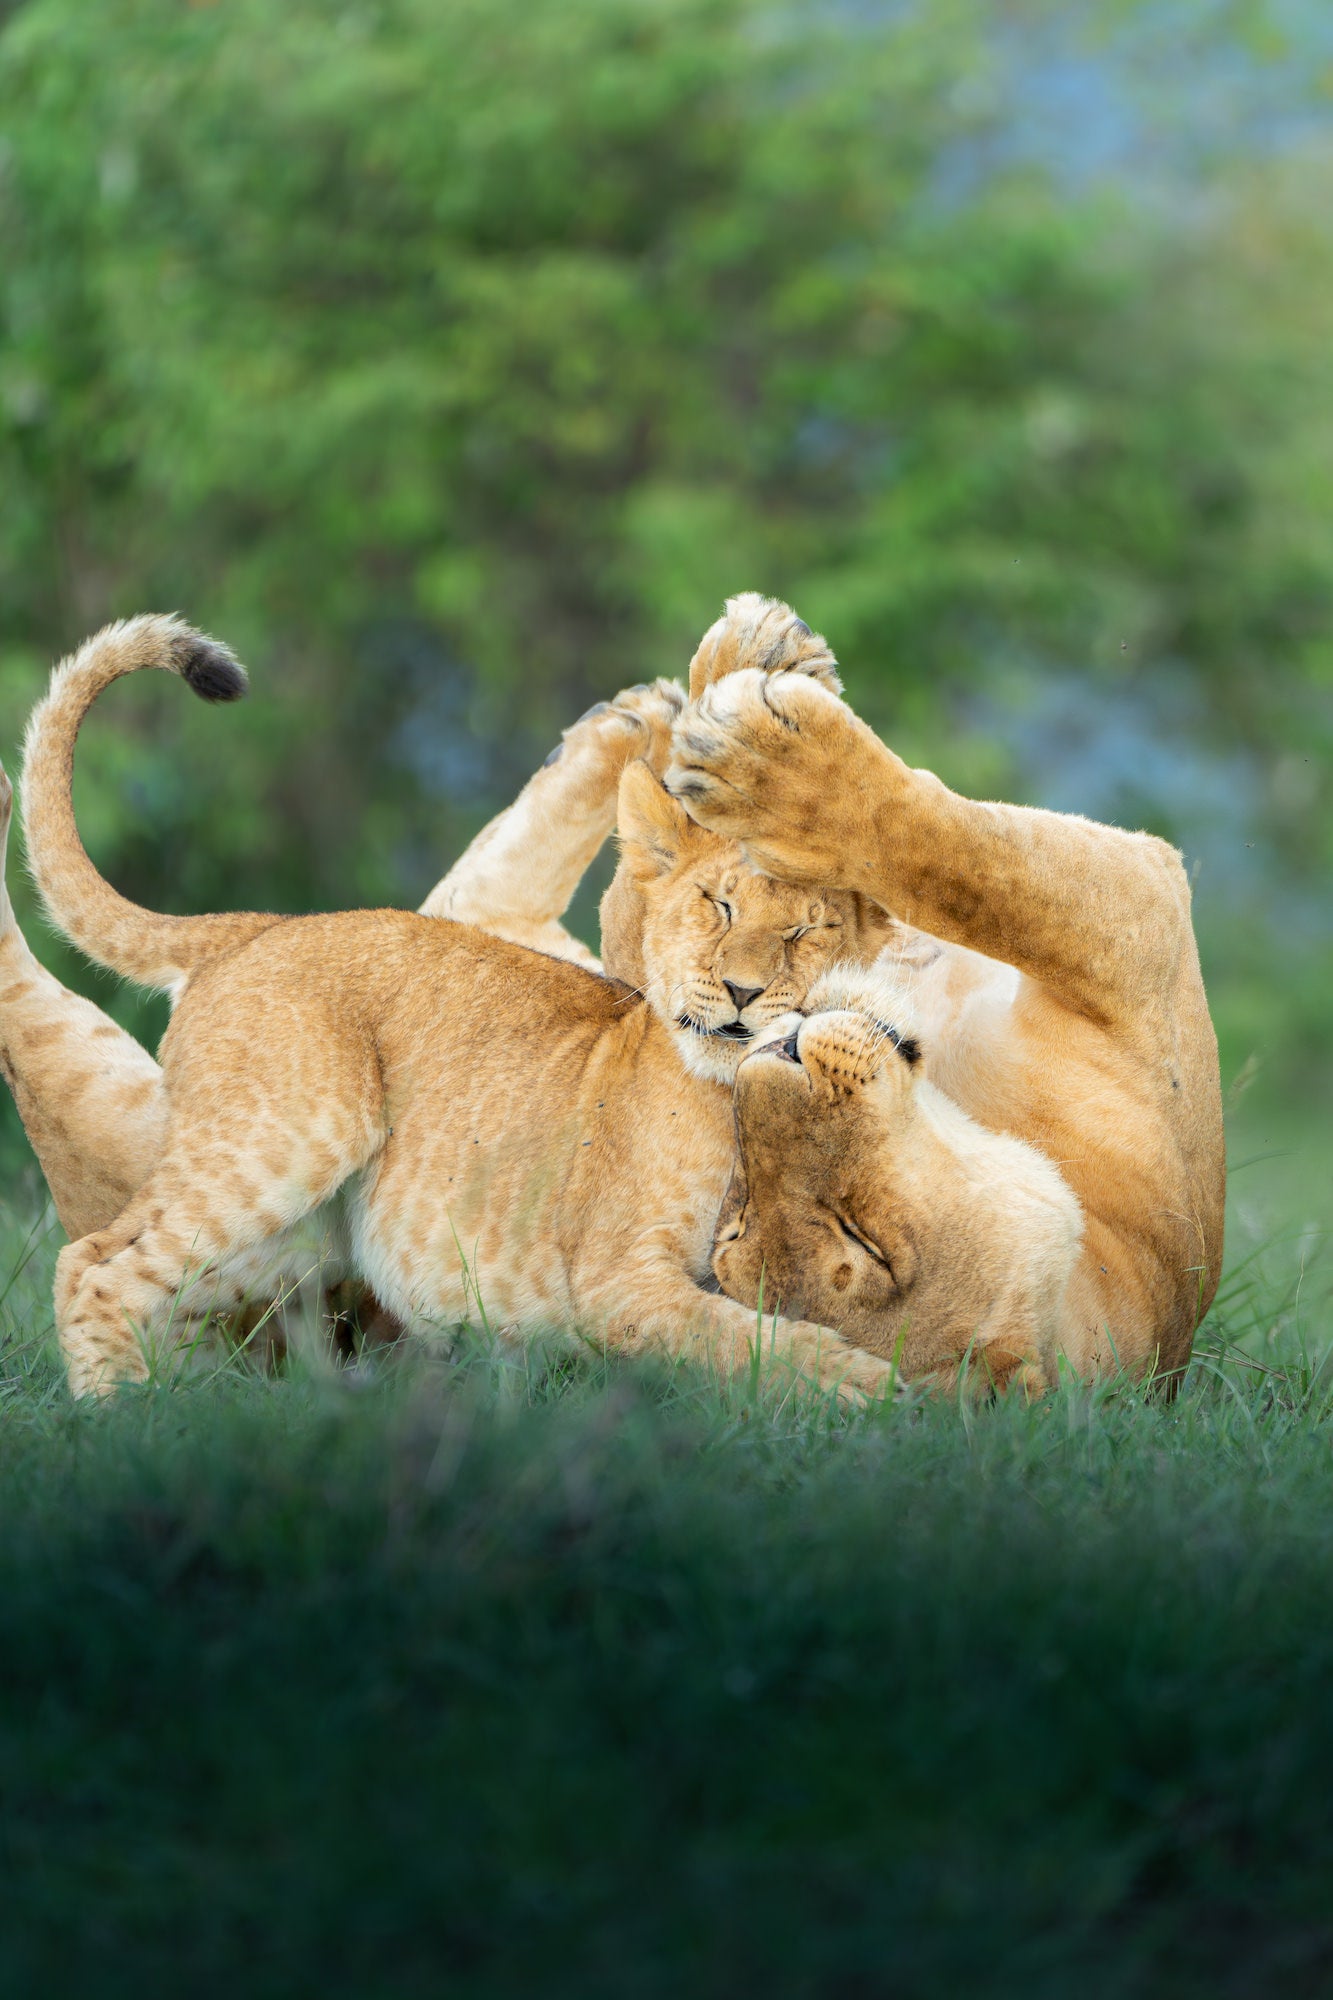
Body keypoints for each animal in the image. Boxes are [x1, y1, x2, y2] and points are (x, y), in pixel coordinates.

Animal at [12, 606, 896, 1398]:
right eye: (717, 905)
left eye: (805, 931)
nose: (744, 991)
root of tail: (257, 926)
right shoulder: (615, 1279)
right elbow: (744, 1340)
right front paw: (869, 1390)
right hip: (287, 1139)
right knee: (92, 1264)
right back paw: (120, 1421)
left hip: (295, 1244)